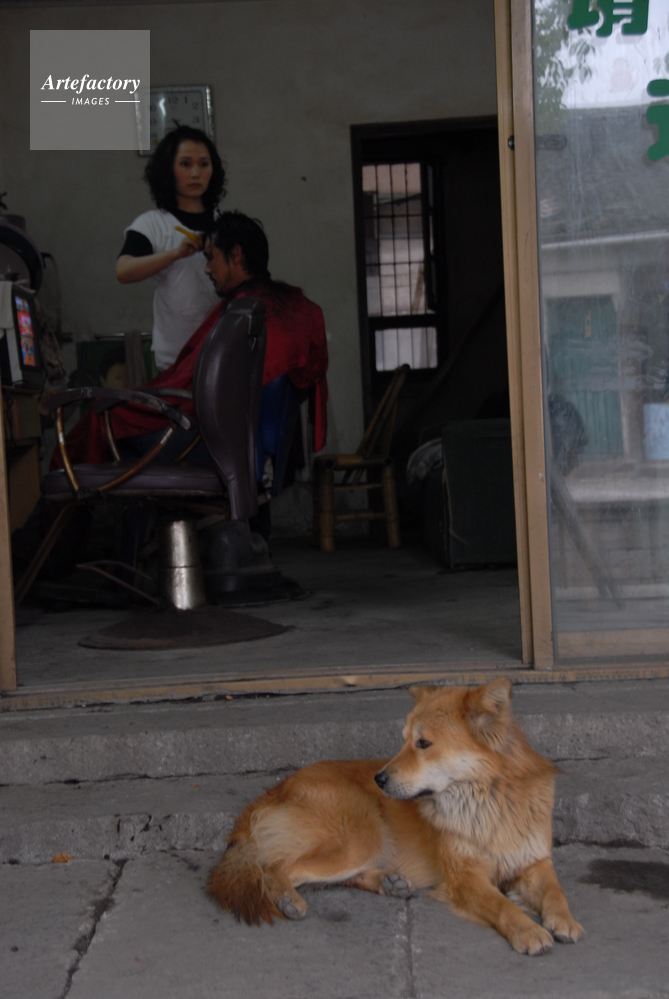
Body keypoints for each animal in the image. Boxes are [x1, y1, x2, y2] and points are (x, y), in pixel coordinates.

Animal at [208, 679, 583, 955]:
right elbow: (502, 905)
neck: (489, 798)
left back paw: (388, 881)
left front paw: (563, 919)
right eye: (403, 741)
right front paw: (527, 930)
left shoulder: (534, 861)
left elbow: (555, 890)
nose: (379, 779)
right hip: (362, 836)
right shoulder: (465, 877)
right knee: (275, 866)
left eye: (423, 743)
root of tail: (274, 790)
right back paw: (287, 897)